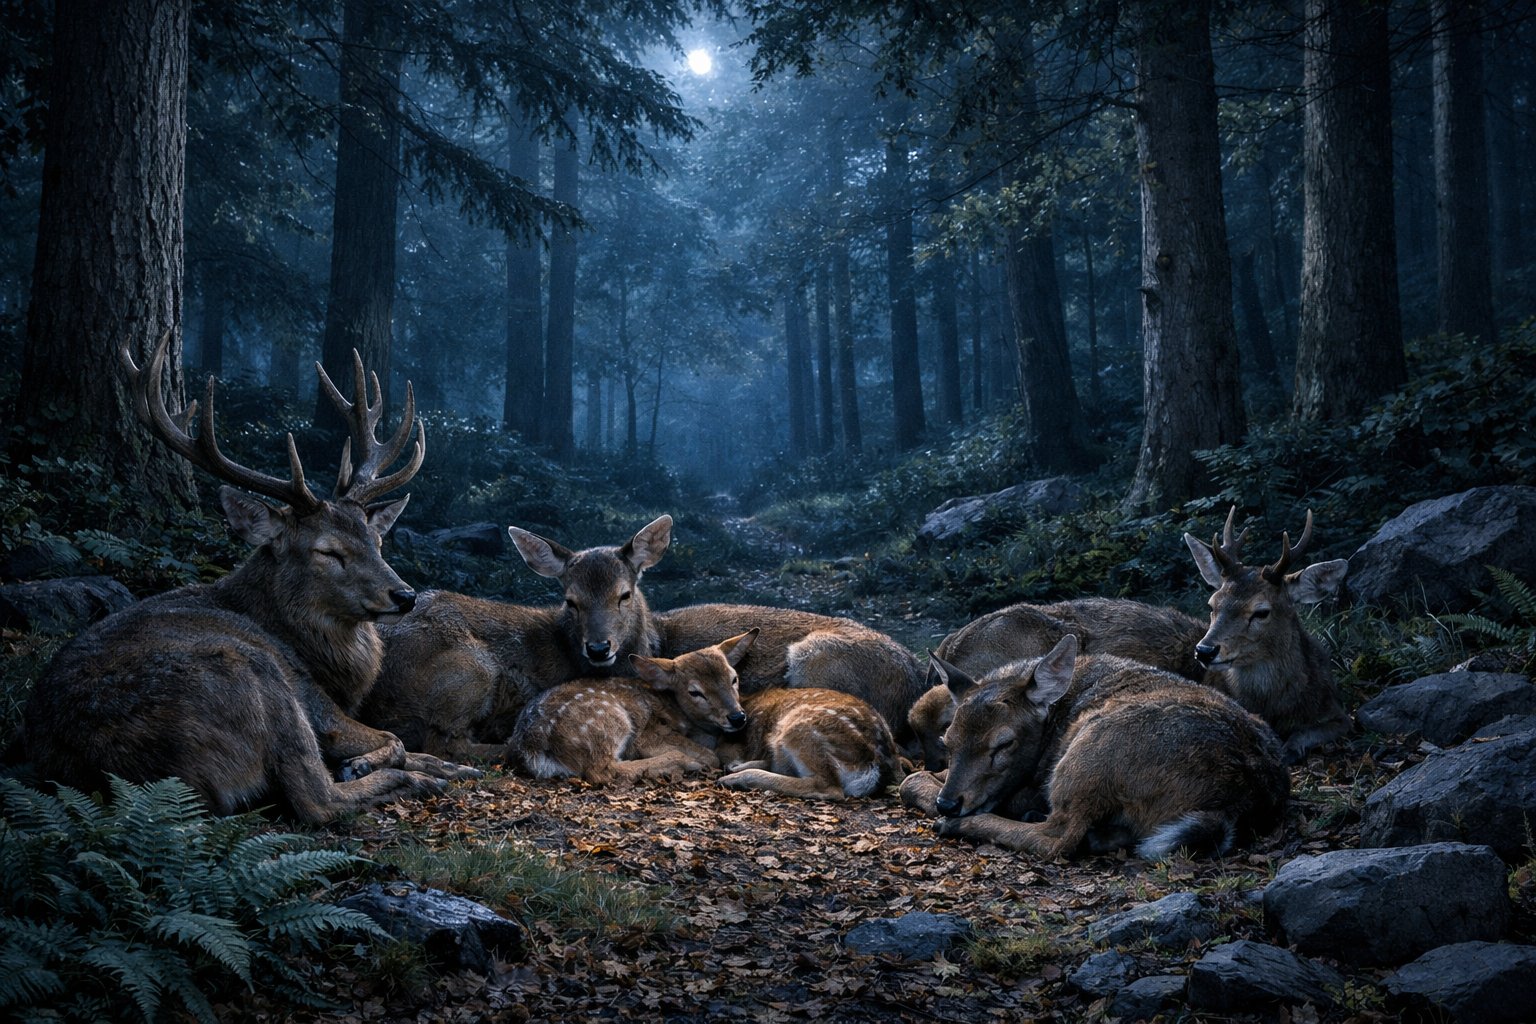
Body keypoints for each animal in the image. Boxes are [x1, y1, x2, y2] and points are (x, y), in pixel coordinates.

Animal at [21, 331, 476, 824]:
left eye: (377, 541)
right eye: (328, 551)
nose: (404, 594)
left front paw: (453, 765)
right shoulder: (314, 697)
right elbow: (393, 741)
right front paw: (377, 763)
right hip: (255, 674)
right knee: (316, 798)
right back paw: (407, 781)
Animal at [509, 630, 756, 785]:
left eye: (733, 678)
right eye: (695, 692)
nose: (737, 717)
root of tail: (533, 746)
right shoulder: (649, 734)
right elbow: (710, 755)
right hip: (609, 720)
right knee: (603, 770)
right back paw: (682, 763)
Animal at [899, 636, 1290, 860]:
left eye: (1004, 743)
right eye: (948, 740)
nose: (948, 803)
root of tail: (1237, 802)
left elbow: (910, 780)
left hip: (1090, 751)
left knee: (1058, 838)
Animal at [1183, 508, 1351, 764]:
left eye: (1261, 612)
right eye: (1212, 604)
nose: (1205, 650)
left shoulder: (1339, 713)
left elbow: (1304, 733)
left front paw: (1289, 749)